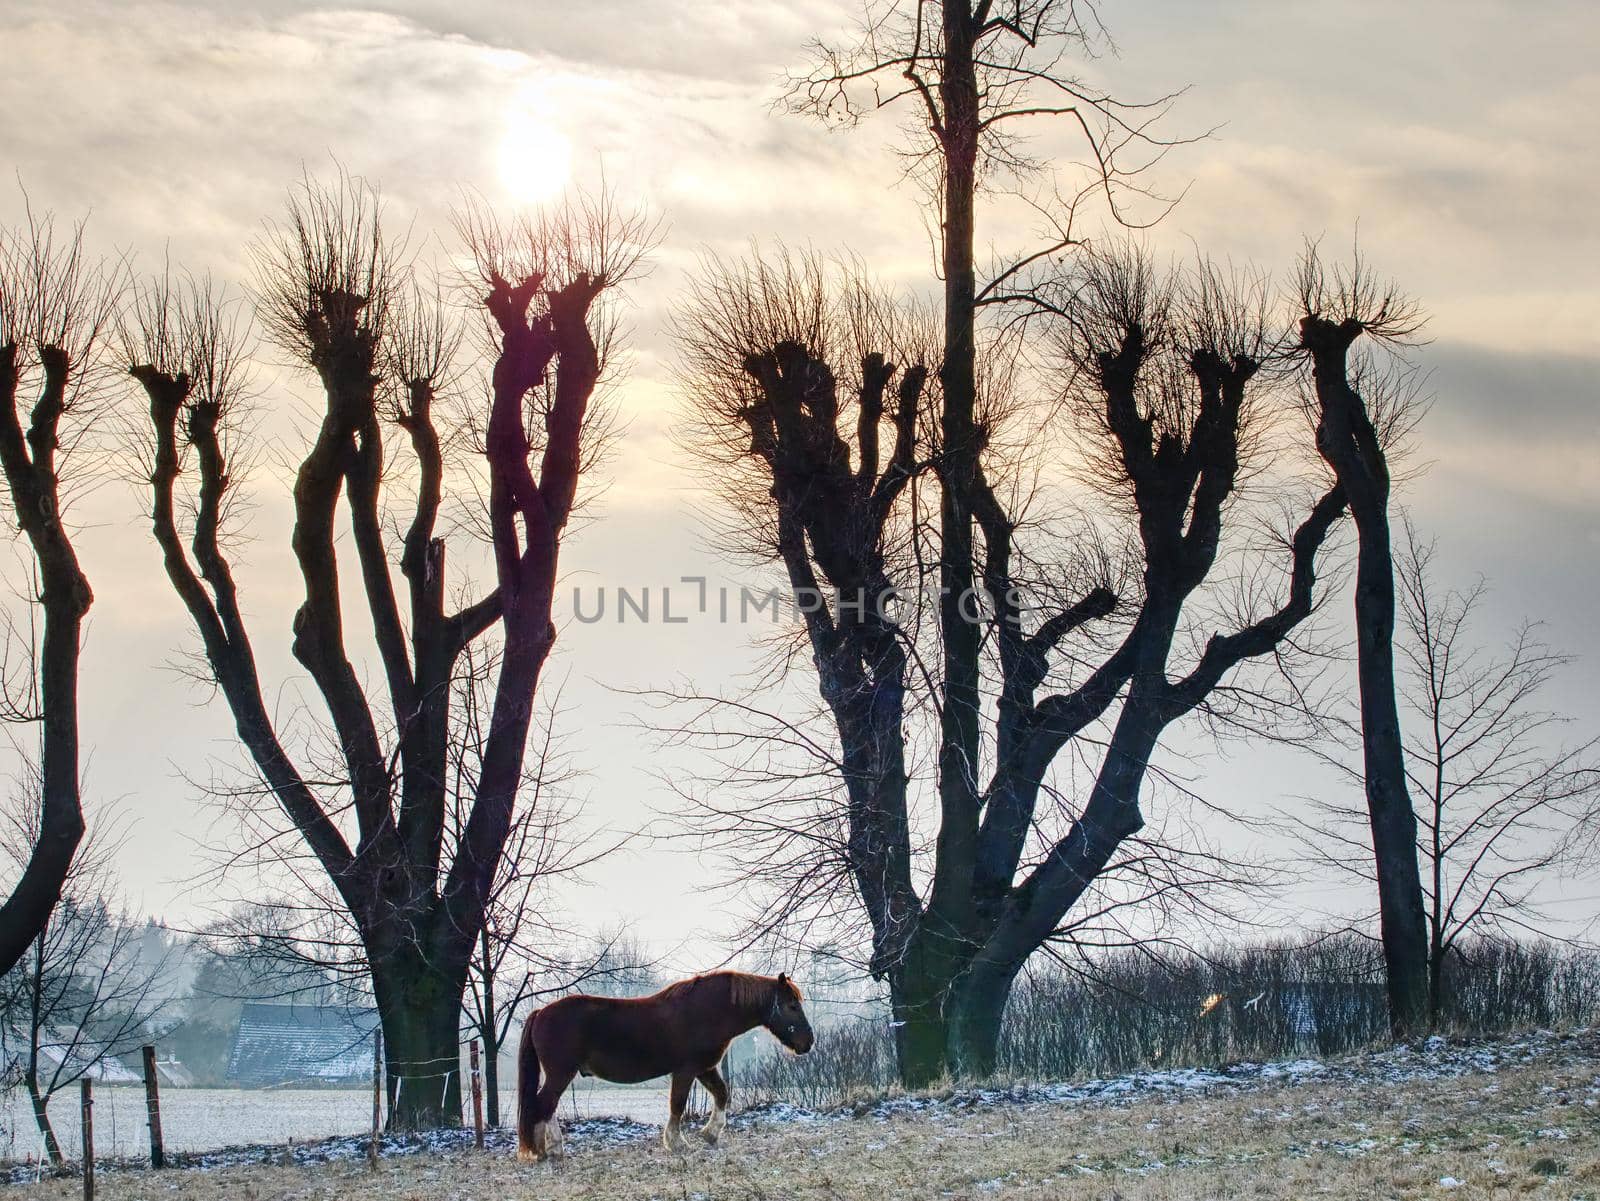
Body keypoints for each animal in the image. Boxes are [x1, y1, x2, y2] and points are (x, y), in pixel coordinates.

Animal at [518, 972, 812, 1157]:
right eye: (791, 1005)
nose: (808, 1042)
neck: (708, 1011)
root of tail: (540, 1012)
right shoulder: (685, 1071)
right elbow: (678, 1105)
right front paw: (677, 1144)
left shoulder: (705, 1069)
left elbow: (722, 1094)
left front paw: (710, 1134)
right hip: (560, 1073)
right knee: (544, 1104)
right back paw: (548, 1151)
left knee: (546, 1105)